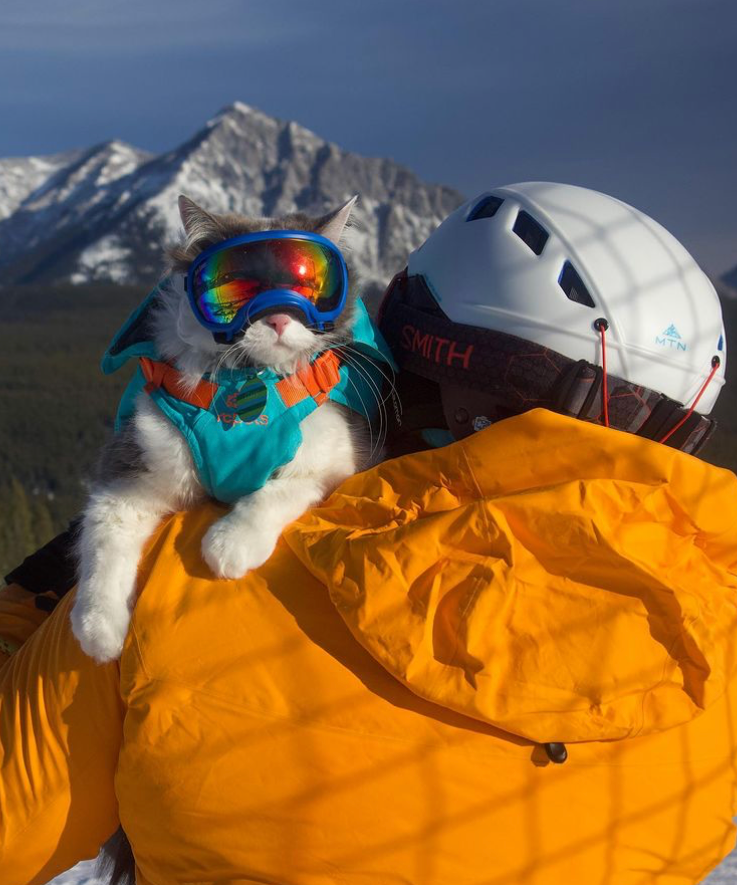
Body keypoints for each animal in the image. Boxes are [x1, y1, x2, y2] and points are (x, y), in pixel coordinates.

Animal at [70, 195, 386, 664]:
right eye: (238, 287)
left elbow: (276, 492)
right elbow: (104, 541)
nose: (278, 318)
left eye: (307, 285)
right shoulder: (131, 472)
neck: (242, 389)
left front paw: (230, 544)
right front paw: (98, 629)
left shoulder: (337, 460)